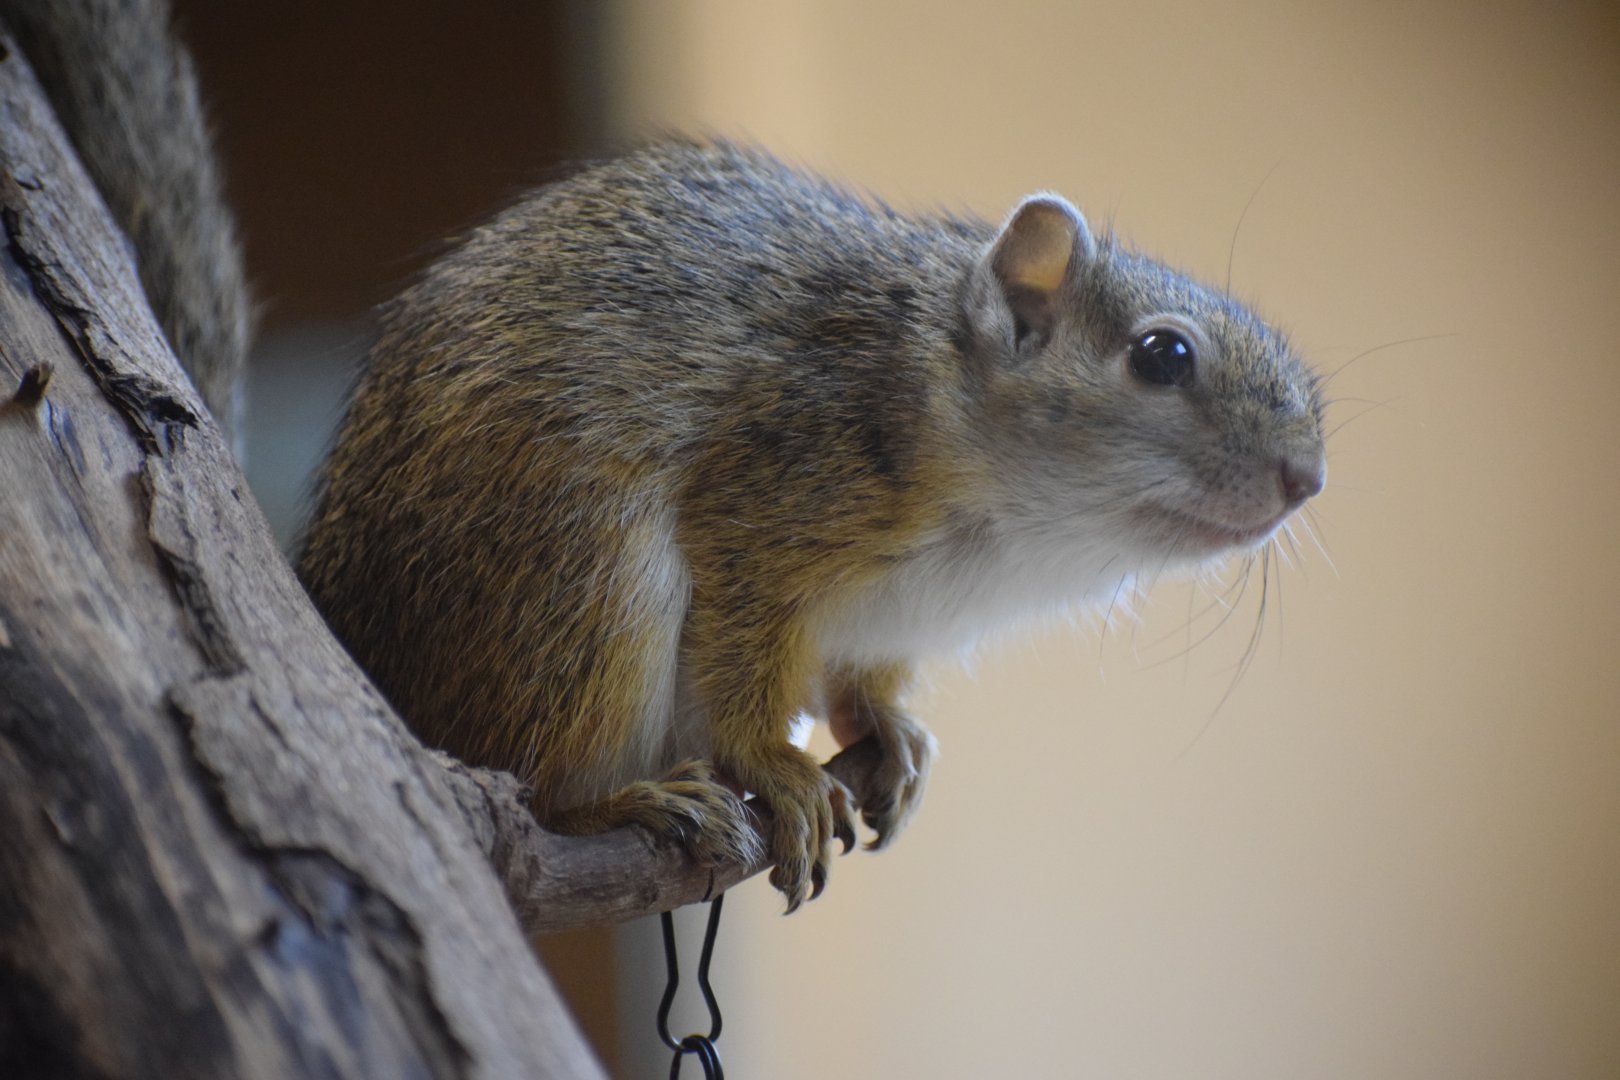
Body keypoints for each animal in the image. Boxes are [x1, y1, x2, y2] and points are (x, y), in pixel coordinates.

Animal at [297, 137, 1327, 910]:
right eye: (1162, 356)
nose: (1308, 479)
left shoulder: (891, 620)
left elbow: (865, 682)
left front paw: (888, 728)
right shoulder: (768, 495)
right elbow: (746, 652)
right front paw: (775, 763)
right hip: (580, 578)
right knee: (537, 778)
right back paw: (626, 803)